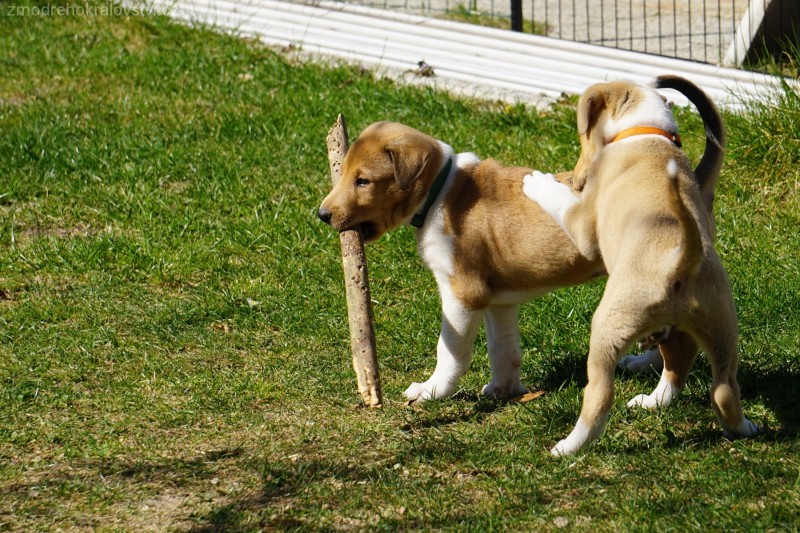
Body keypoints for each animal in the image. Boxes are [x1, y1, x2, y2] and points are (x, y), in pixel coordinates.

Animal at [316, 122, 604, 402]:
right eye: (342, 173)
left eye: (363, 181)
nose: (321, 215)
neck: (439, 193)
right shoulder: (499, 300)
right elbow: (502, 347)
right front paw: (503, 391)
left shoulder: (462, 293)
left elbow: (449, 348)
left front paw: (430, 391)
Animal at [520, 81, 760, 456]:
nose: (574, 178)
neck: (645, 130)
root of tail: (684, 256)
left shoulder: (582, 224)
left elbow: (562, 204)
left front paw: (538, 182)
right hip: (720, 329)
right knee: (714, 385)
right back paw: (734, 424)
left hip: (608, 328)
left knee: (600, 397)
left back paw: (568, 448)